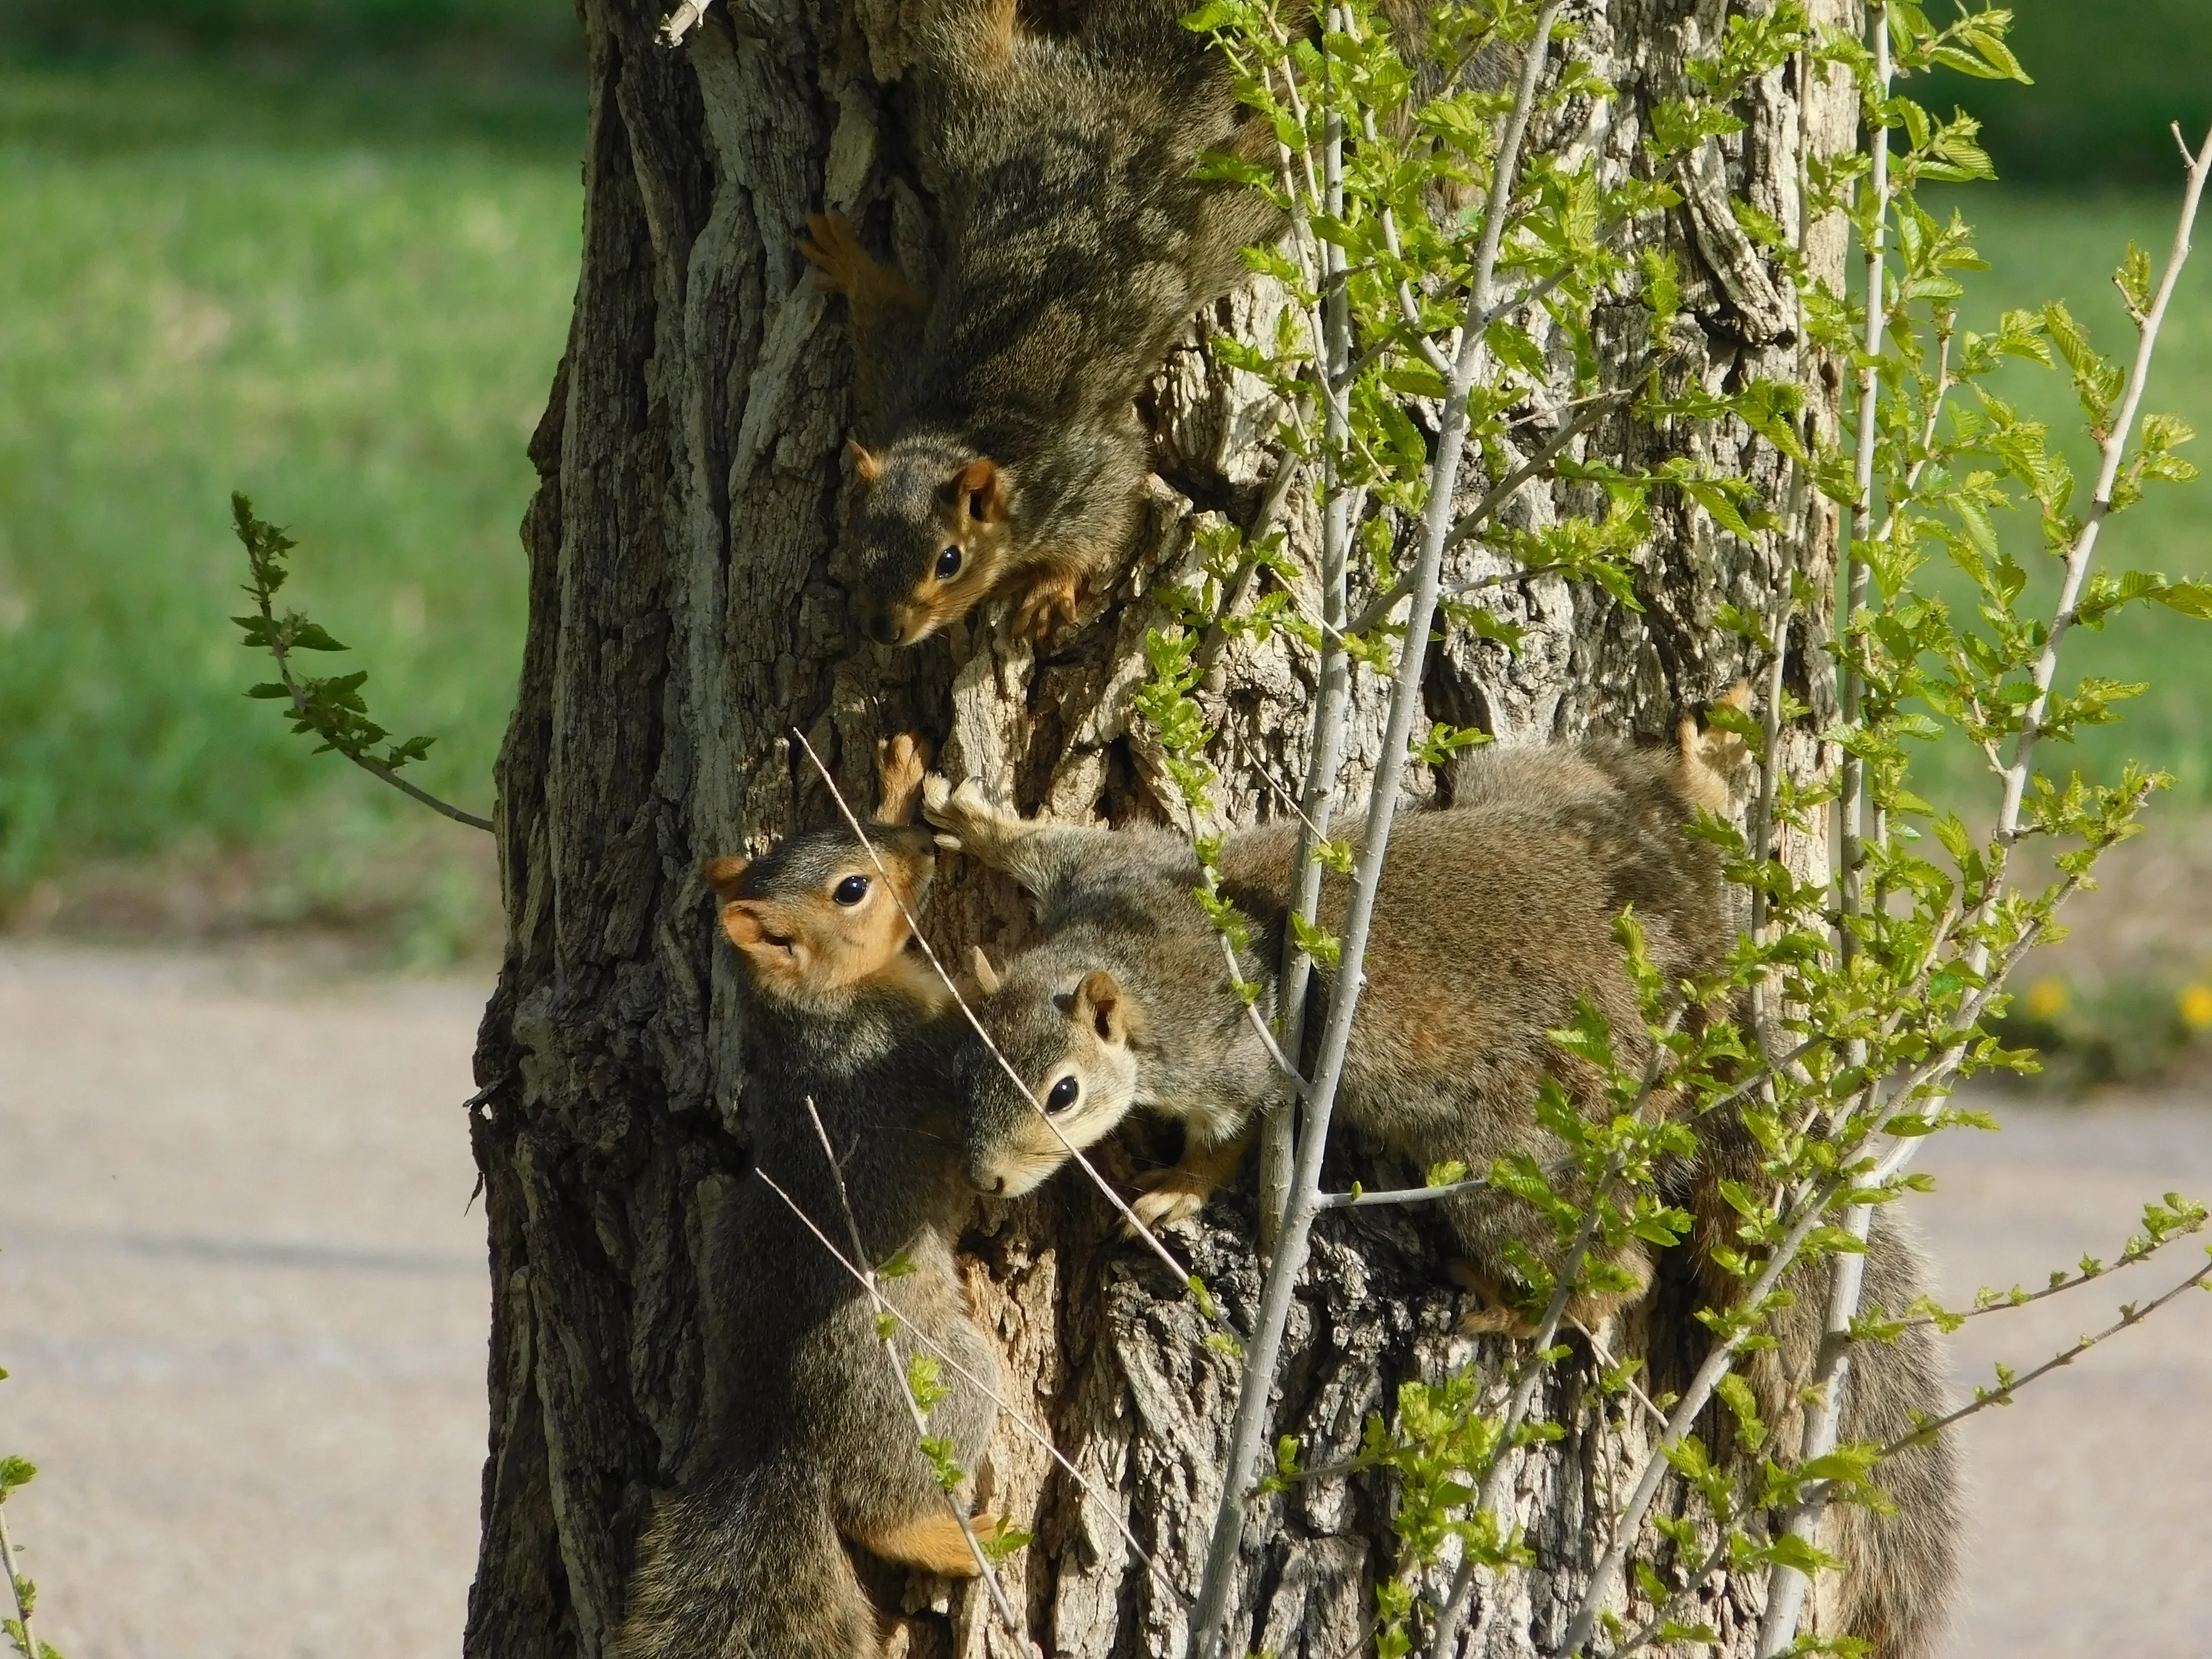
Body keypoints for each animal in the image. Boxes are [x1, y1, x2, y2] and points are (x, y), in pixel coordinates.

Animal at [611, 737, 1004, 1659]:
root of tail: (781, 1442)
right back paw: (963, 1542)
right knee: (881, 1516)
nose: (923, 848)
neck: (808, 1006)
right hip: (935, 1388)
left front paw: (896, 777)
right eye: (851, 891)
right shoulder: (906, 1053)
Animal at [800, 0, 1285, 648]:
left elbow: (1111, 504)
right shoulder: (897, 379)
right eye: (856, 545)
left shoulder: (1079, 478)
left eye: (949, 561)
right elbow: (882, 311)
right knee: (965, 44)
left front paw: (1050, 591)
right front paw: (846, 260)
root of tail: (1133, 107)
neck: (959, 431)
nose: (886, 631)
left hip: (1224, 219)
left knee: (1269, 167)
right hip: (978, 126)